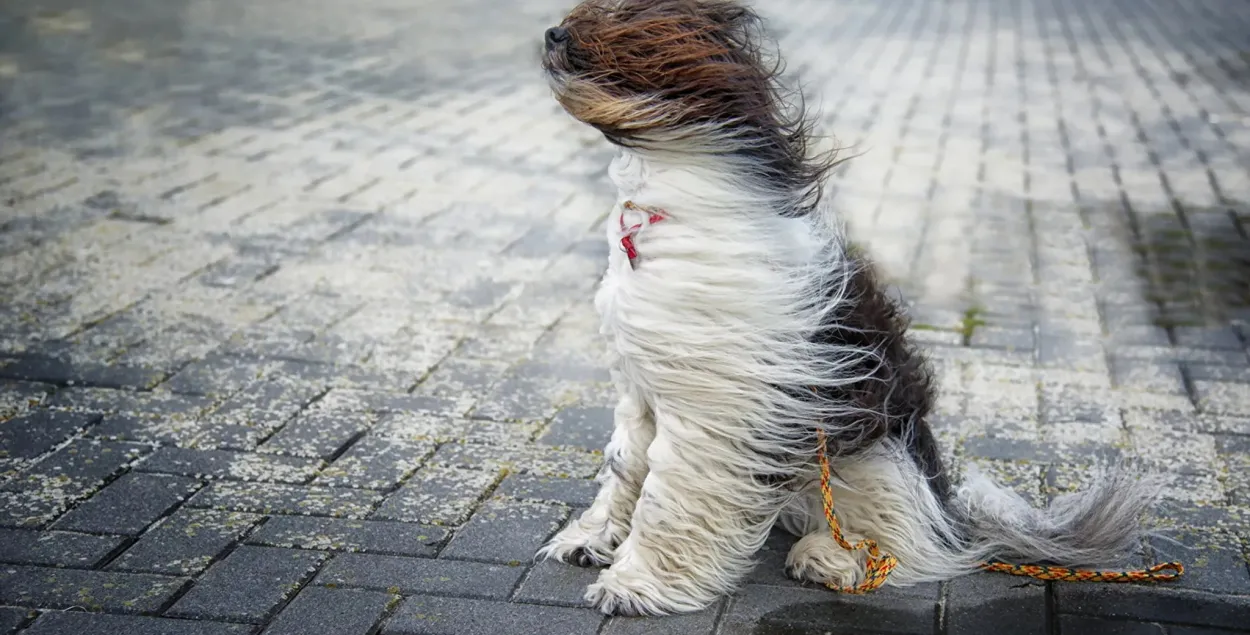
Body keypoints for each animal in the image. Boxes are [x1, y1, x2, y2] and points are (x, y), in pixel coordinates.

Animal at [537, 0, 1160, 615]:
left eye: (619, 21)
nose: (552, 33)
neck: (663, 203)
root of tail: (948, 507)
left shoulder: (713, 409)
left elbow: (666, 492)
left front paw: (635, 583)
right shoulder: (641, 390)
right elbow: (624, 467)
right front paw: (591, 539)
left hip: (874, 455)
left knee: (907, 539)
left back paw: (833, 557)